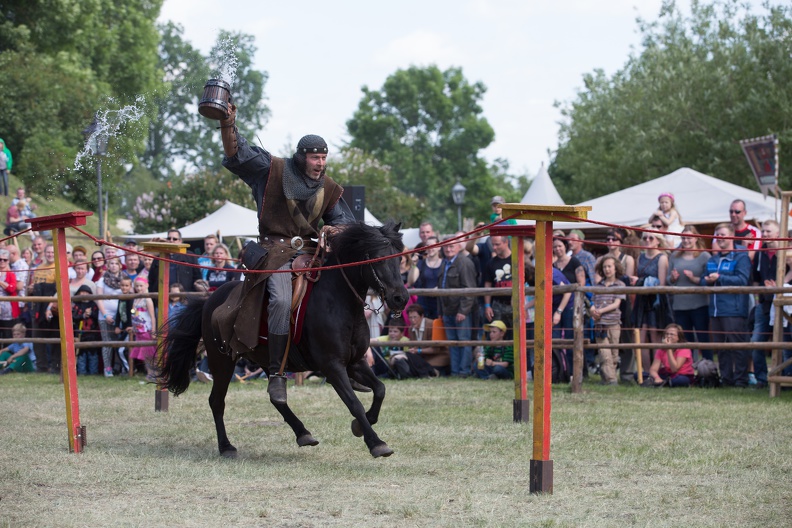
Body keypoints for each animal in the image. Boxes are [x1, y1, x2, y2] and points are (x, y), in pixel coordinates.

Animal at [160, 222, 408, 458]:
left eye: (399, 257)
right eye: (378, 258)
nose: (400, 298)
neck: (338, 302)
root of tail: (209, 301)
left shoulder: (355, 363)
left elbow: (380, 389)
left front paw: (361, 424)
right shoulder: (332, 366)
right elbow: (354, 402)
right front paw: (375, 442)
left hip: (266, 361)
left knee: (275, 396)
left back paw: (302, 432)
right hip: (222, 361)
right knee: (217, 401)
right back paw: (226, 446)